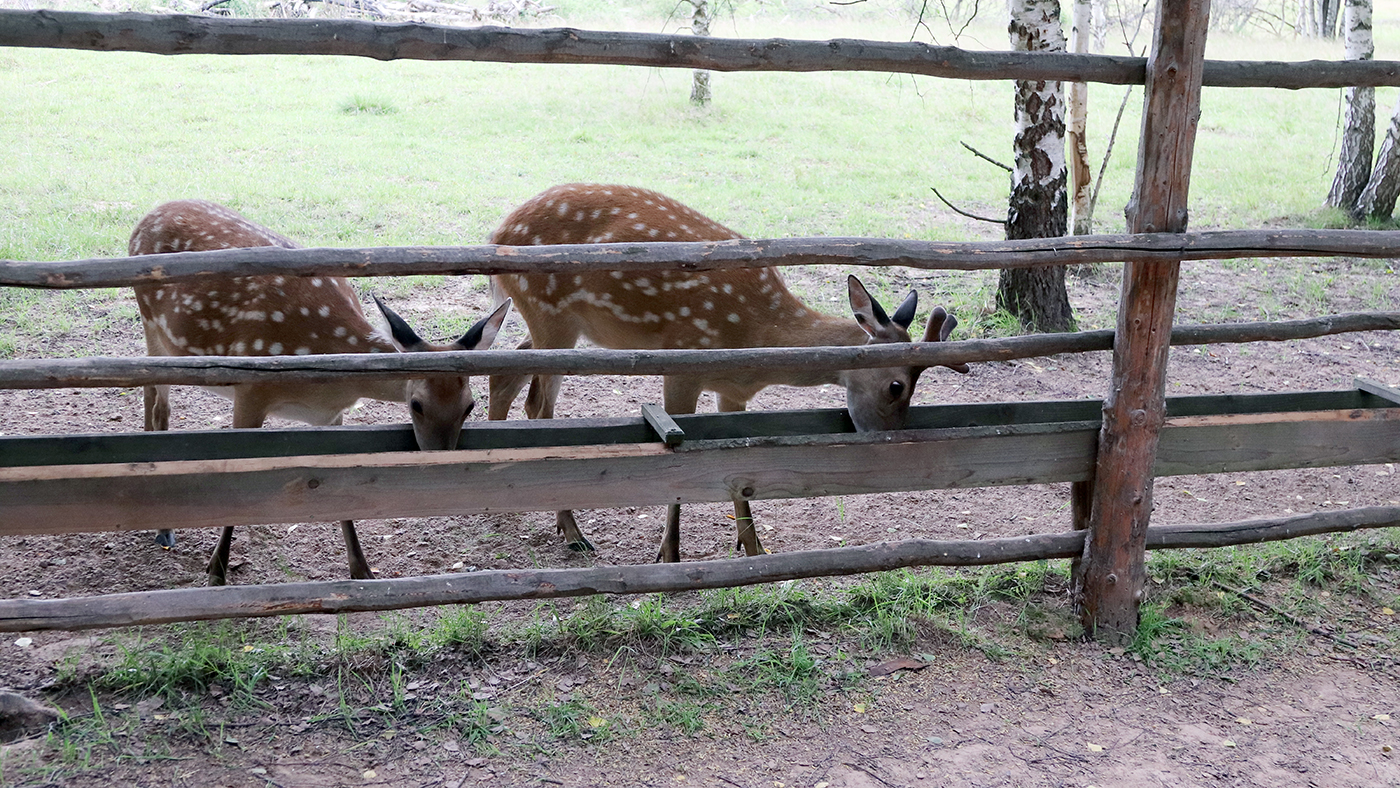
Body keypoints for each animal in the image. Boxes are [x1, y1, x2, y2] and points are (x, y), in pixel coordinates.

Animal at [128, 200, 512, 587]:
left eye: (470, 406)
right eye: (416, 404)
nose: (442, 464)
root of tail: (146, 217)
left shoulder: (331, 414)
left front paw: (362, 571)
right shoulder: (250, 392)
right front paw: (216, 574)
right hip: (152, 326)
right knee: (157, 400)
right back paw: (163, 528)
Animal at [487, 184, 968, 565]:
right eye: (896, 386)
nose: (890, 442)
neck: (760, 335)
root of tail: (497, 233)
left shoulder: (733, 390)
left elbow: (739, 469)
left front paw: (755, 550)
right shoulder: (683, 360)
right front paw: (670, 555)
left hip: (557, 326)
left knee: (506, 368)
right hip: (550, 313)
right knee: (538, 403)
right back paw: (571, 530)